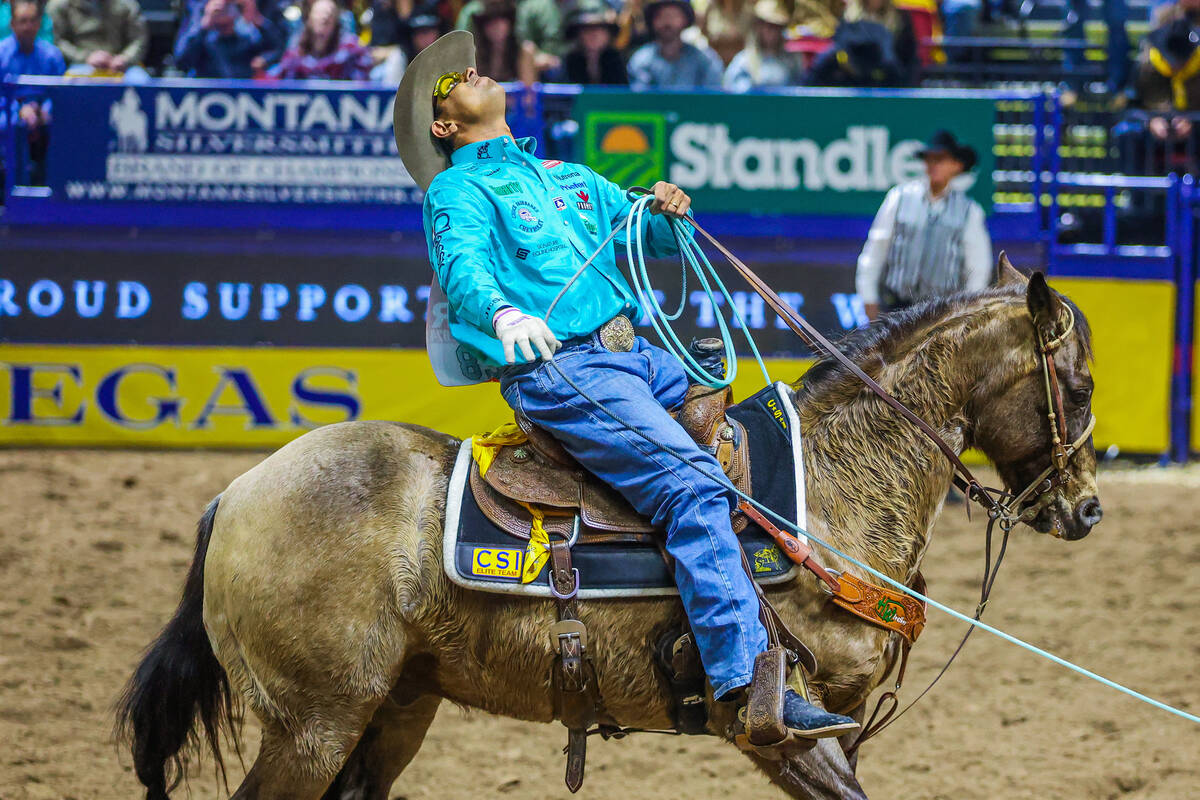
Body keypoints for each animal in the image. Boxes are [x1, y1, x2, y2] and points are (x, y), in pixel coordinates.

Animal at [117, 262, 1099, 800]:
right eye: (1082, 386)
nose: (1087, 508)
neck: (829, 491)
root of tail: (236, 494)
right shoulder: (783, 729)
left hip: (394, 707)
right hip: (314, 723)